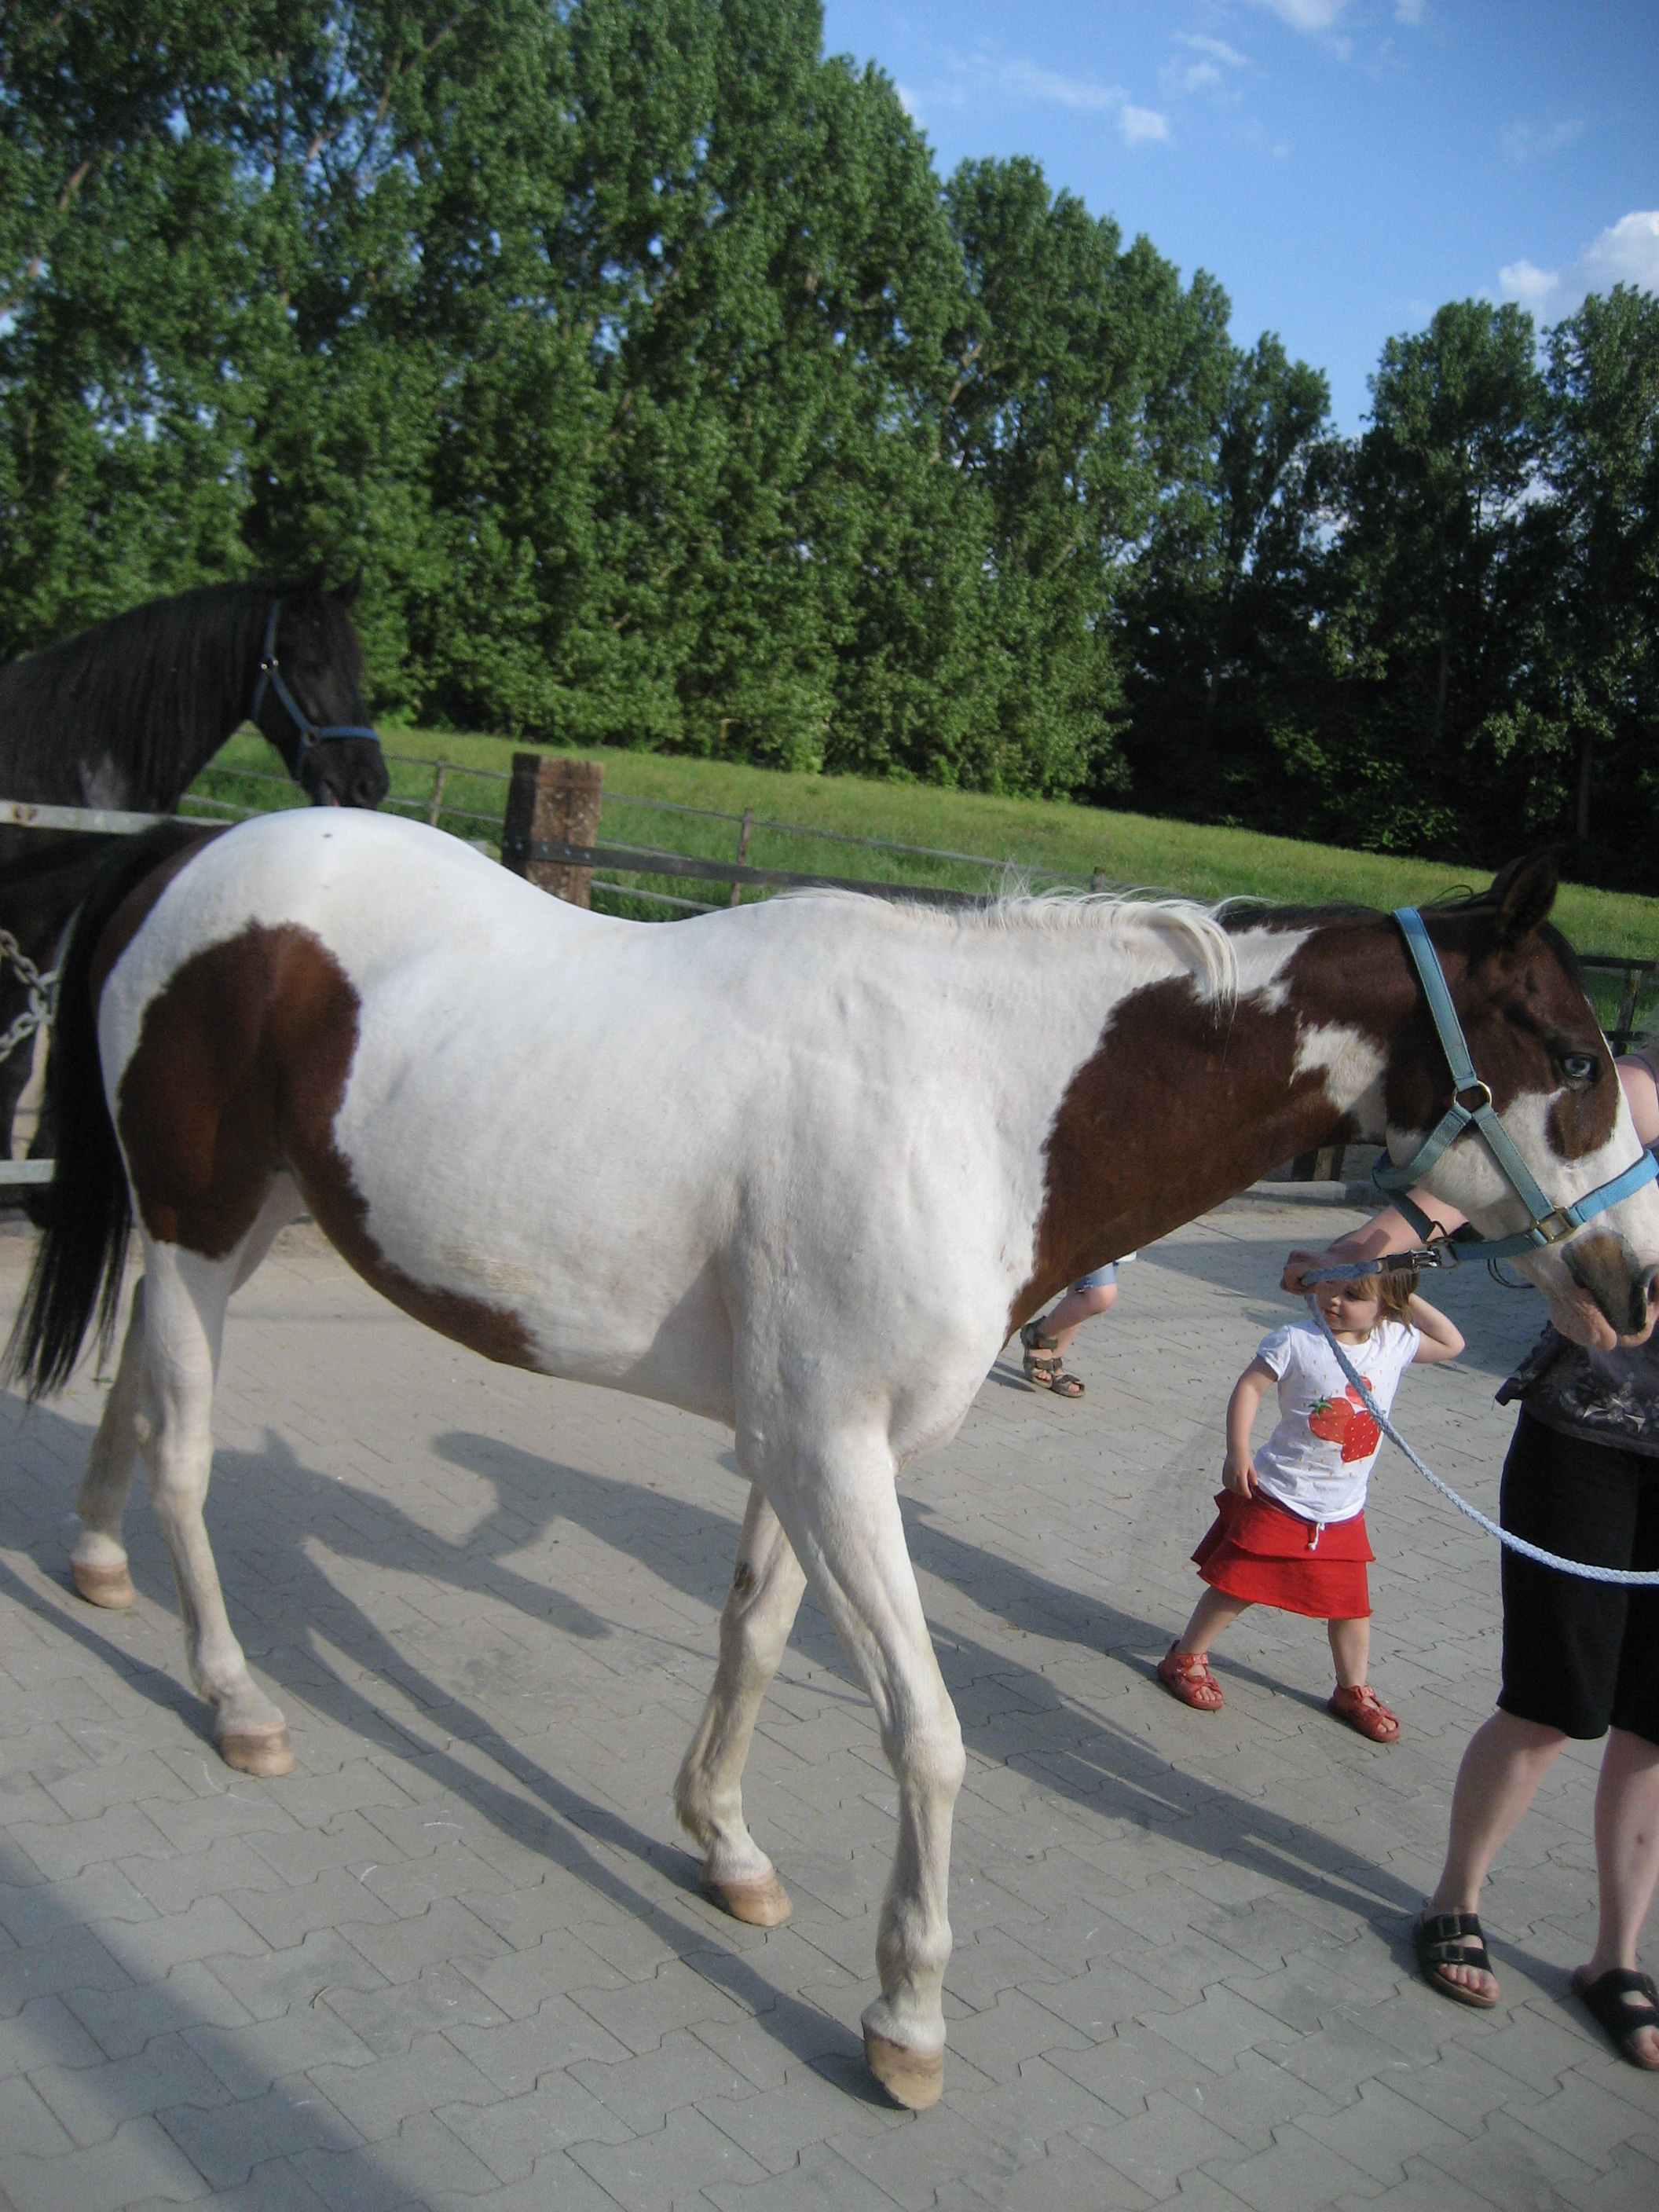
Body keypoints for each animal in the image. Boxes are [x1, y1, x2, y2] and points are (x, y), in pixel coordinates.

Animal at [0, 578, 388, 1159]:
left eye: (356, 667)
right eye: (312, 662)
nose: (370, 782)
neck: (72, 761)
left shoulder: (48, 930)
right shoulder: (24, 925)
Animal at [7, 814, 1656, 2111]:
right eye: (1577, 1058)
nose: (1631, 1287)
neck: (975, 1101)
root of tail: (196, 851)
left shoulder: (809, 1449)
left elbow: (751, 1633)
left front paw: (723, 1847)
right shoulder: (831, 1453)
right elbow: (925, 1733)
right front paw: (905, 2014)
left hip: (240, 1222)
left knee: (137, 1396)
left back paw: (92, 1563)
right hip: (205, 1222)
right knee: (185, 1448)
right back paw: (235, 1700)